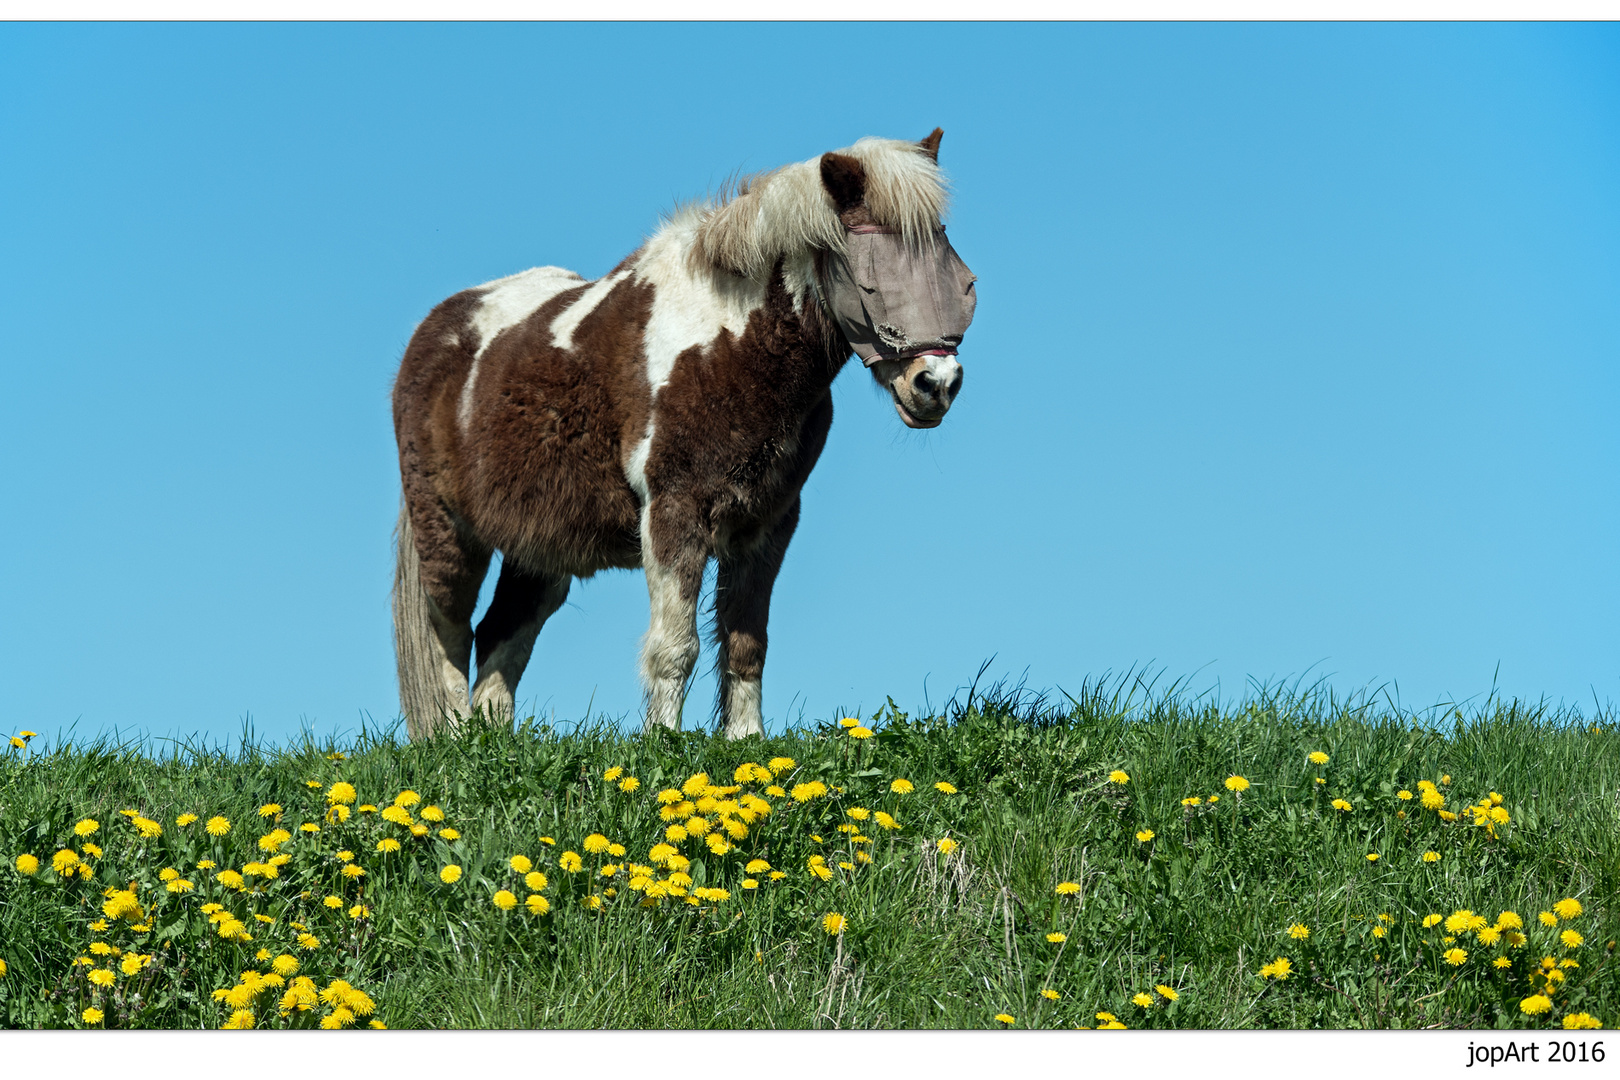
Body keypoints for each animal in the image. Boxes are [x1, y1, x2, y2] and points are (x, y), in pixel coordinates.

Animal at [390, 127, 972, 738]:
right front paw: (663, 742)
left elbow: (746, 643)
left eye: (958, 276)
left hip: (540, 547)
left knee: (503, 633)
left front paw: (746, 742)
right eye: (871, 281)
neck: (731, 345)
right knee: (449, 631)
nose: (937, 383)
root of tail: (433, 333)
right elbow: (676, 647)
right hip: (447, 529)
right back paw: (455, 738)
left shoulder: (767, 524)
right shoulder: (674, 512)